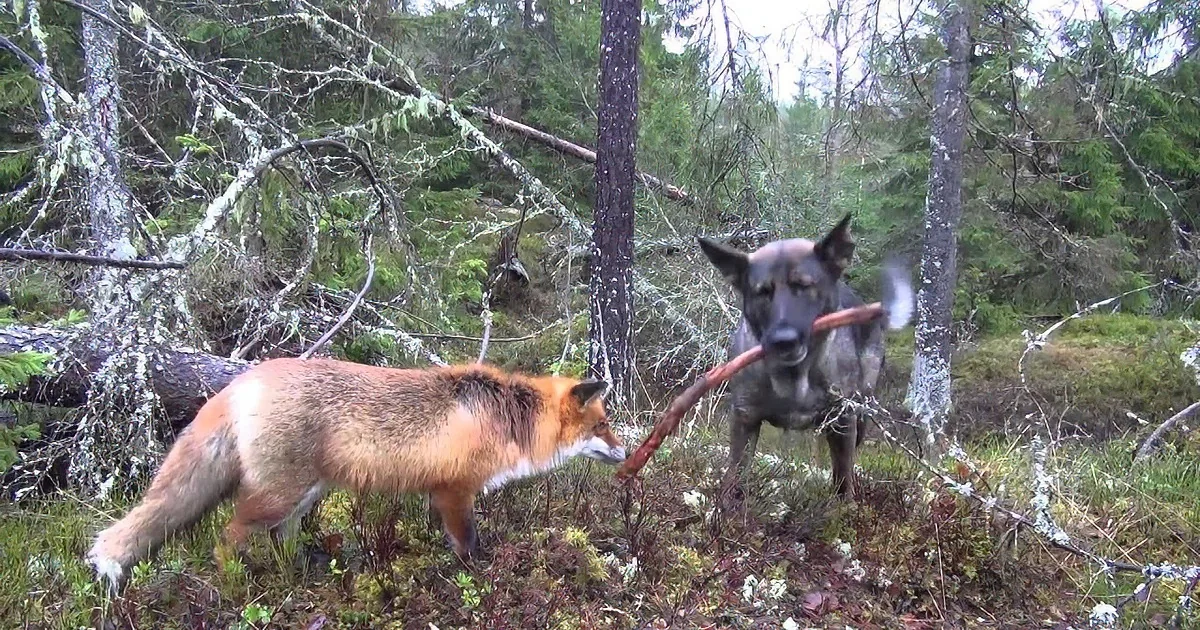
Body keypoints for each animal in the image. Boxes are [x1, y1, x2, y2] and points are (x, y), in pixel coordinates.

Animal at [86, 357, 625, 591]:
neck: (507, 419)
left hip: (304, 494)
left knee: (281, 539)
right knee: (228, 536)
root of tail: (242, 379)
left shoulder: (443, 493)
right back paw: (236, 584)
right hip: (278, 495)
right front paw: (480, 576)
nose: (626, 454)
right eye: (603, 425)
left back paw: (301, 572)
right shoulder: (455, 491)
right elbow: (468, 545)